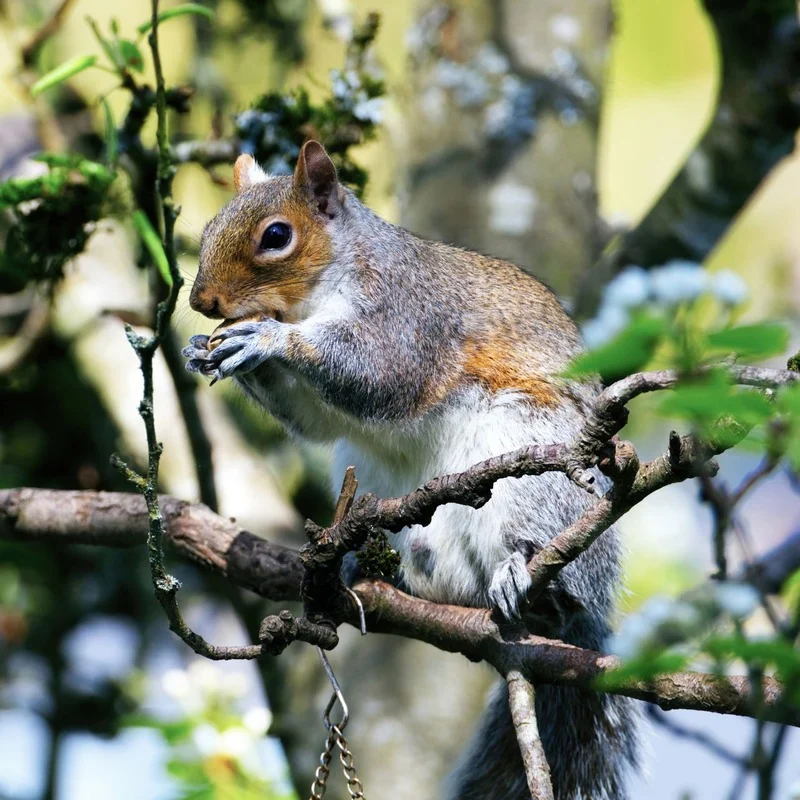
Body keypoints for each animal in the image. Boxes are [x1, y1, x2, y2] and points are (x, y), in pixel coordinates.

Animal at [183, 140, 640, 800]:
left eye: (276, 236)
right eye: (208, 229)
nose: (202, 303)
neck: (319, 294)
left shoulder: (406, 314)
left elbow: (380, 371)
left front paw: (267, 339)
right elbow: (316, 420)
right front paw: (205, 348)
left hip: (536, 472)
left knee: (555, 573)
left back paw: (526, 572)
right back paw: (368, 567)